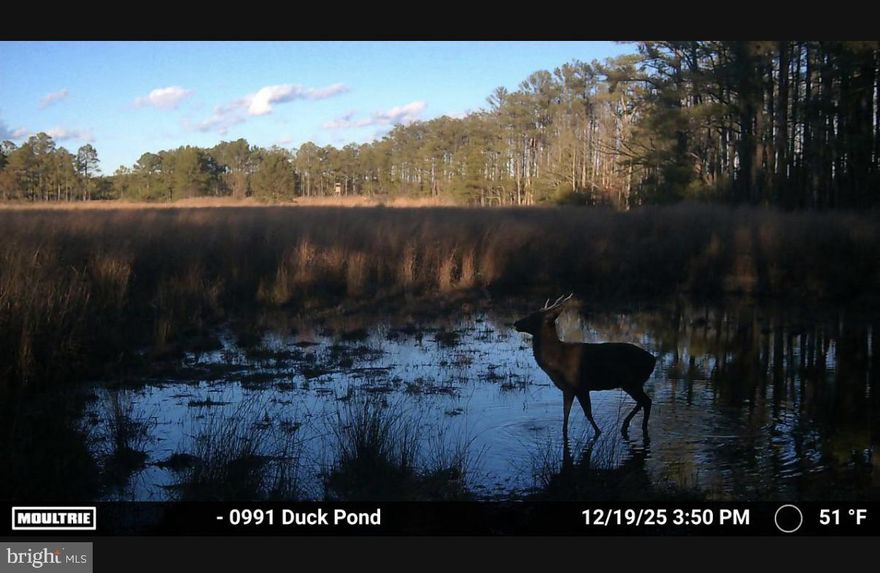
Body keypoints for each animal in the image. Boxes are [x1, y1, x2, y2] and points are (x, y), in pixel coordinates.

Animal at [514, 294, 656, 441]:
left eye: (533, 316)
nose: (516, 323)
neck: (557, 360)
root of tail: (653, 360)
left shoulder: (580, 385)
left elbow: (588, 414)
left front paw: (598, 431)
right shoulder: (568, 389)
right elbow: (566, 416)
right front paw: (564, 432)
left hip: (631, 381)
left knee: (646, 401)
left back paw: (632, 426)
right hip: (633, 383)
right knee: (644, 401)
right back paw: (628, 425)